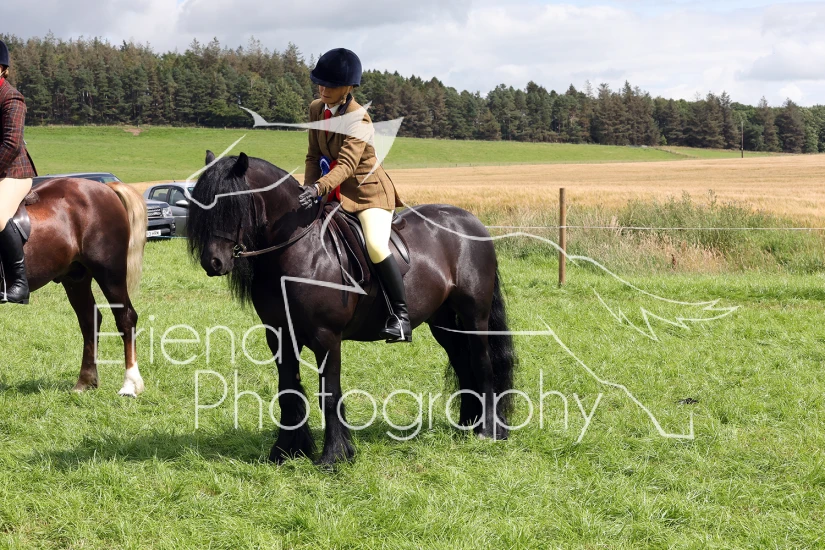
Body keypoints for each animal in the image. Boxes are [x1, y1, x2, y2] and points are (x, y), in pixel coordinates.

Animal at [1, 178, 148, 396]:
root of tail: (105, 187)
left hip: (109, 273)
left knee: (125, 318)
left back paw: (130, 385)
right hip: (76, 278)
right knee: (90, 321)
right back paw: (85, 382)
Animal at [188, 152, 516, 466]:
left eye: (231, 203)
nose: (213, 262)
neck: (299, 250)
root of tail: (470, 221)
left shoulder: (326, 337)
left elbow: (330, 394)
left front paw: (334, 455)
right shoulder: (280, 336)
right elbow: (288, 390)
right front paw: (286, 451)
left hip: (475, 316)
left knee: (483, 365)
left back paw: (488, 431)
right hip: (443, 322)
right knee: (463, 365)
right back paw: (467, 425)